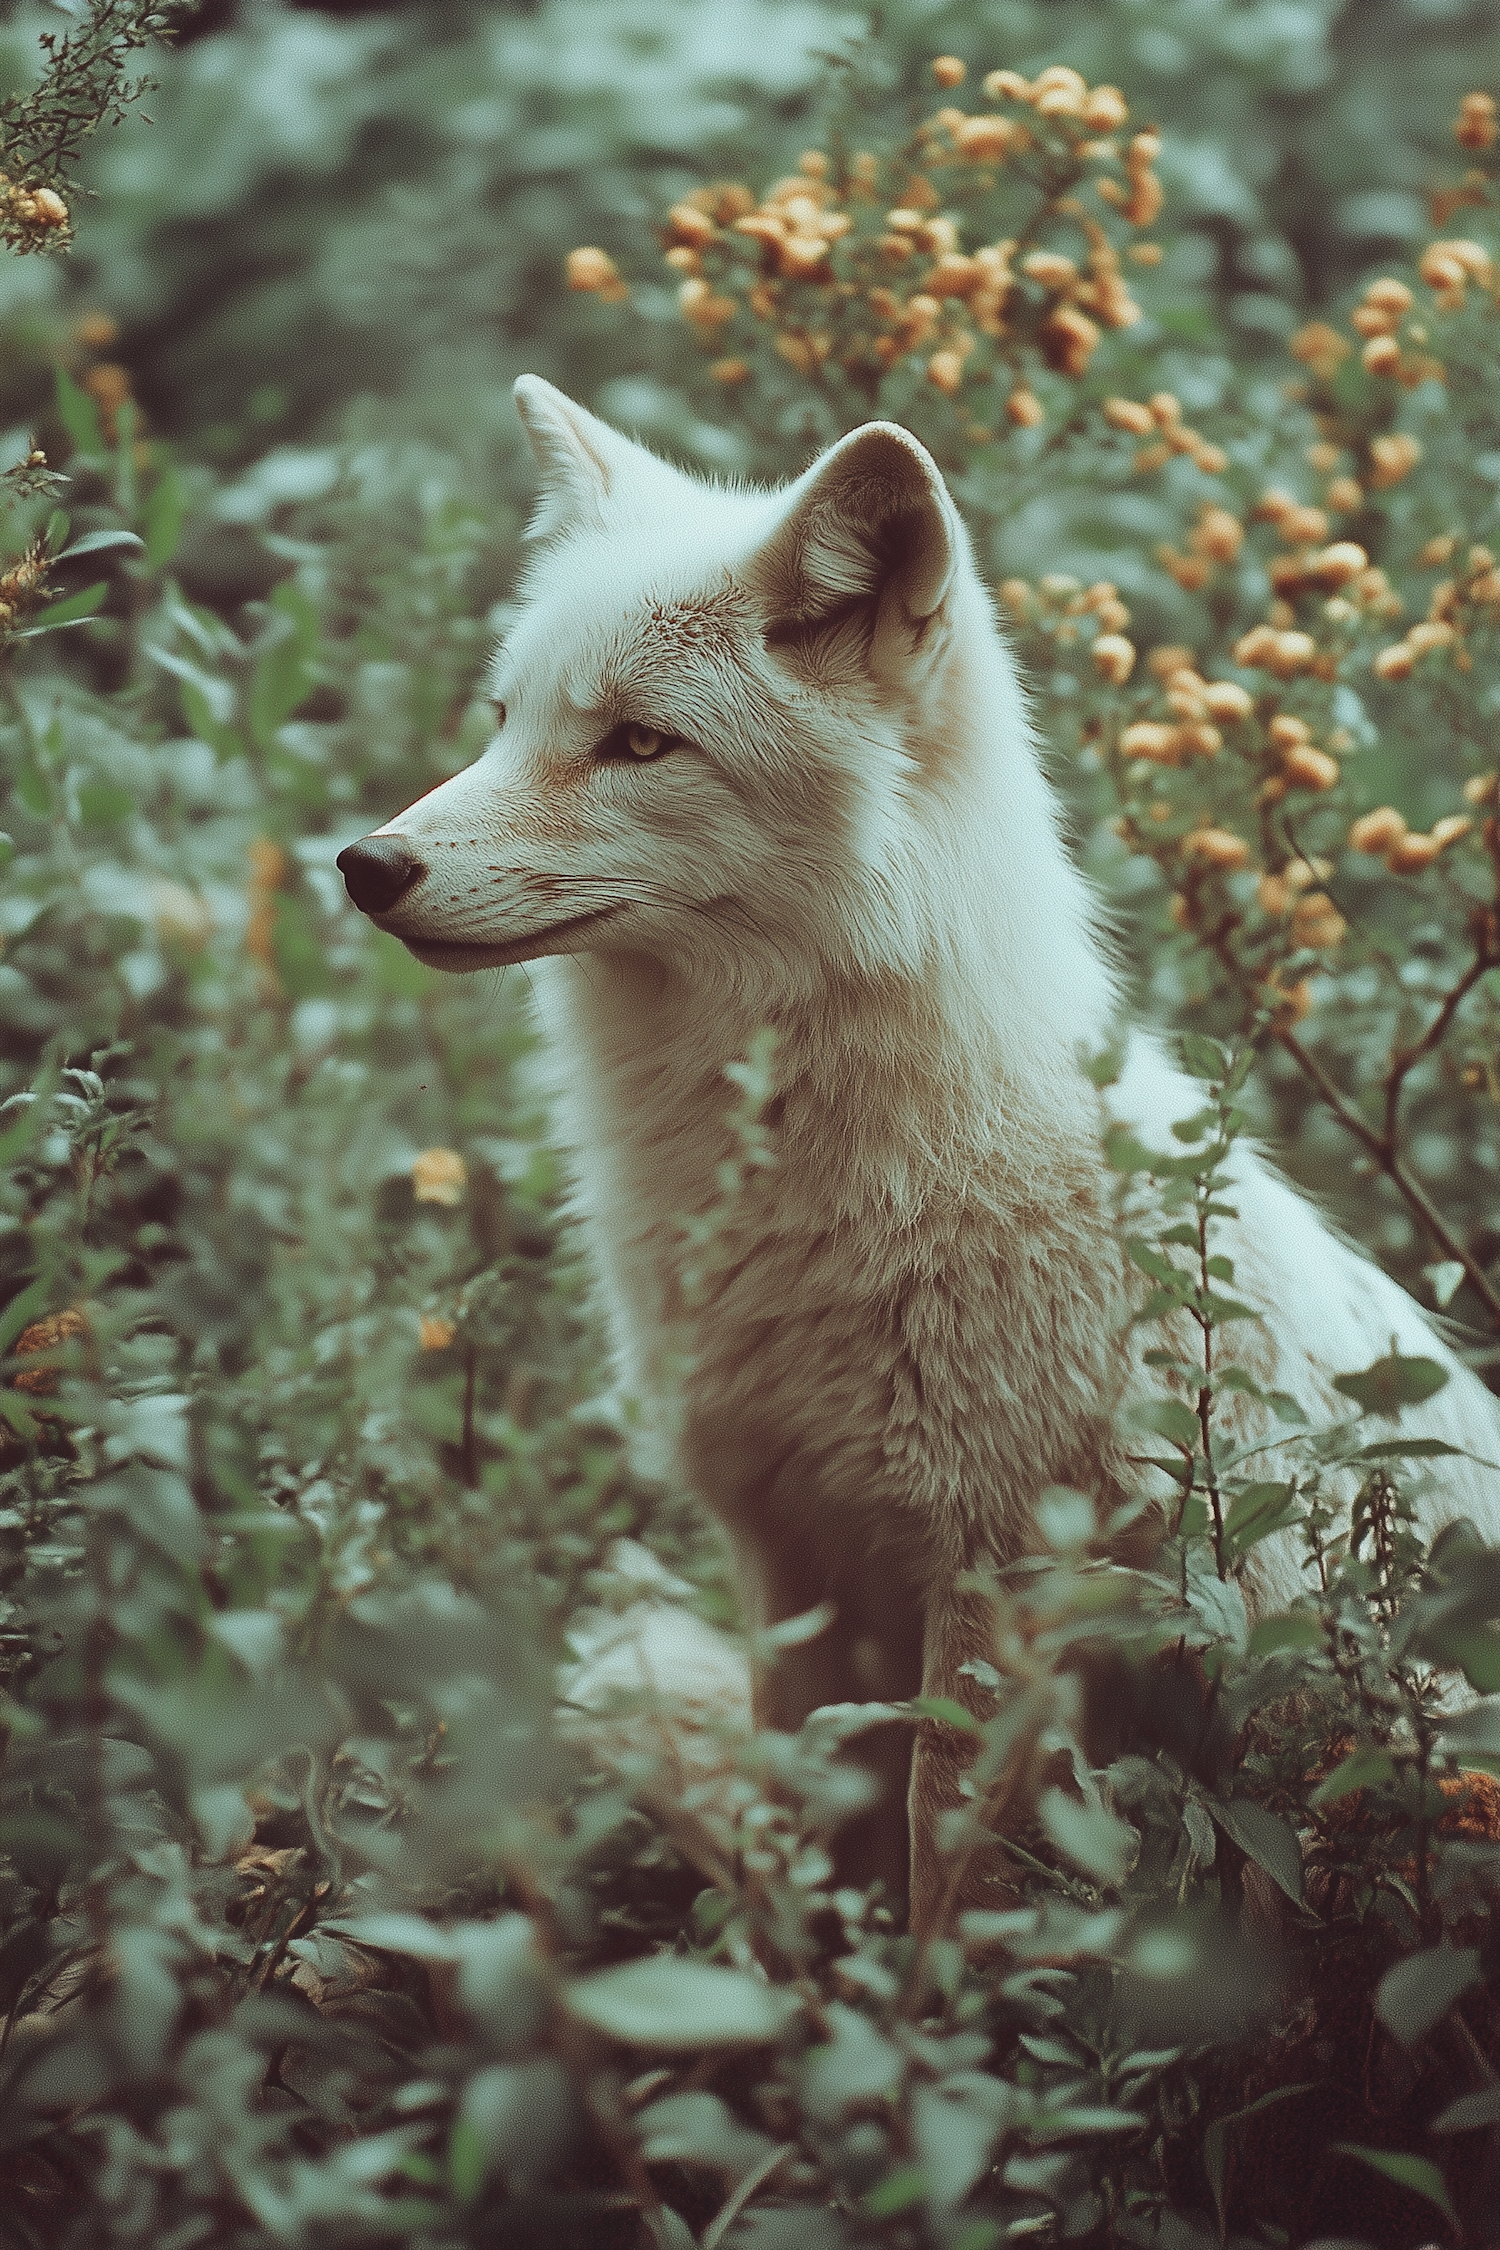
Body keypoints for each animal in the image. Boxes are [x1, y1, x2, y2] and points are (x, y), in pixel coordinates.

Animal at [337, 378, 1500, 1926]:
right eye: (505, 719)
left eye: (638, 743)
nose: (365, 866)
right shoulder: (781, 1556)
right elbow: (795, 1857)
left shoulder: (999, 1577)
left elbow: (944, 1877)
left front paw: (915, 1999)